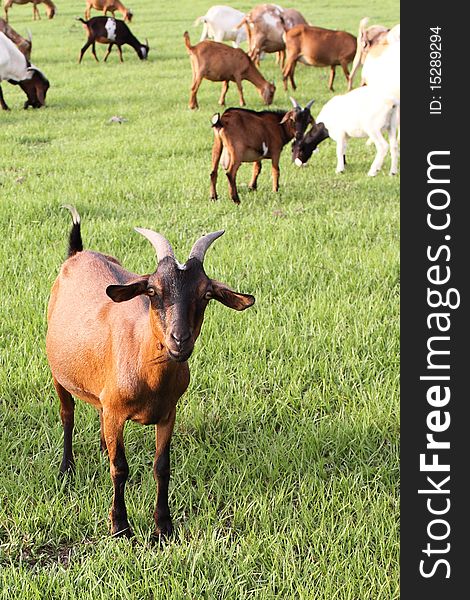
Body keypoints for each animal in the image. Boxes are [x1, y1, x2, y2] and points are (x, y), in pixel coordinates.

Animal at [46, 206, 255, 540]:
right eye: (153, 290)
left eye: (207, 294)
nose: (179, 340)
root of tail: (77, 253)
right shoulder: (116, 412)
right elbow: (120, 468)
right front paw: (120, 526)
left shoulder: (168, 413)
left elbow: (162, 466)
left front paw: (164, 526)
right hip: (58, 374)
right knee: (68, 415)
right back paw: (67, 468)